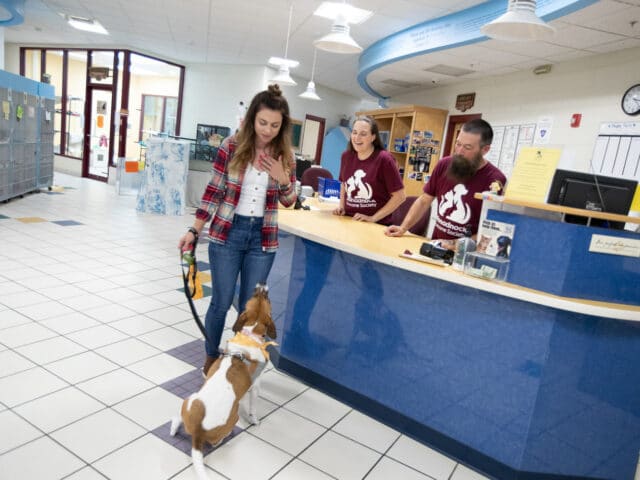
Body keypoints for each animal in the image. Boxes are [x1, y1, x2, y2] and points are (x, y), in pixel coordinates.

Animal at [170, 284, 278, 478]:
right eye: (266, 298)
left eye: (255, 295)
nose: (261, 284)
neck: (249, 335)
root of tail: (198, 433)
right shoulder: (256, 386)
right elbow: (253, 408)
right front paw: (254, 420)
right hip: (233, 418)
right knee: (216, 441)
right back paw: (225, 437)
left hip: (189, 400)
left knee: (176, 419)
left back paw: (174, 428)